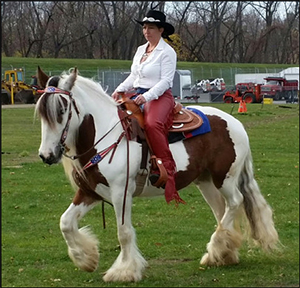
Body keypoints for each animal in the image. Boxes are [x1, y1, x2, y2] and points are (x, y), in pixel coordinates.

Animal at [34, 66, 278, 284]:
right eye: (41, 114)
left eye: (62, 110)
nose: (47, 155)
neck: (105, 137)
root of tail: (236, 124)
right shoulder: (90, 192)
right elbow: (65, 223)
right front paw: (87, 259)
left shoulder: (121, 193)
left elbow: (123, 232)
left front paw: (124, 271)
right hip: (206, 182)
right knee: (221, 210)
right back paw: (221, 254)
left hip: (224, 178)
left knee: (235, 202)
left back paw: (218, 249)